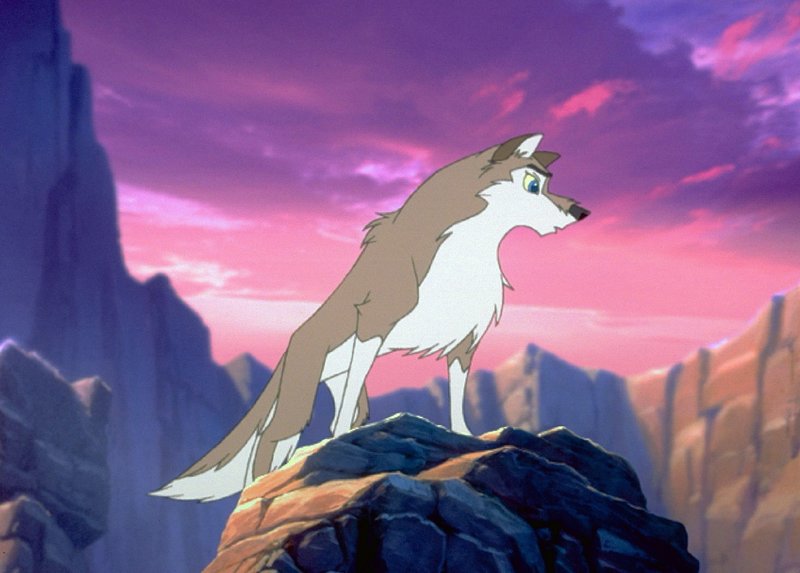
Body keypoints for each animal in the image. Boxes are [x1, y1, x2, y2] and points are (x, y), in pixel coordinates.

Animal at [151, 133, 589, 501]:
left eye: (549, 181)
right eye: (533, 185)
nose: (581, 211)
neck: (467, 247)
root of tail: (290, 345)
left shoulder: (464, 341)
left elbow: (456, 397)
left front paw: (467, 436)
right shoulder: (373, 324)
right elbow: (344, 416)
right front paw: (343, 442)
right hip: (301, 393)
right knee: (273, 442)